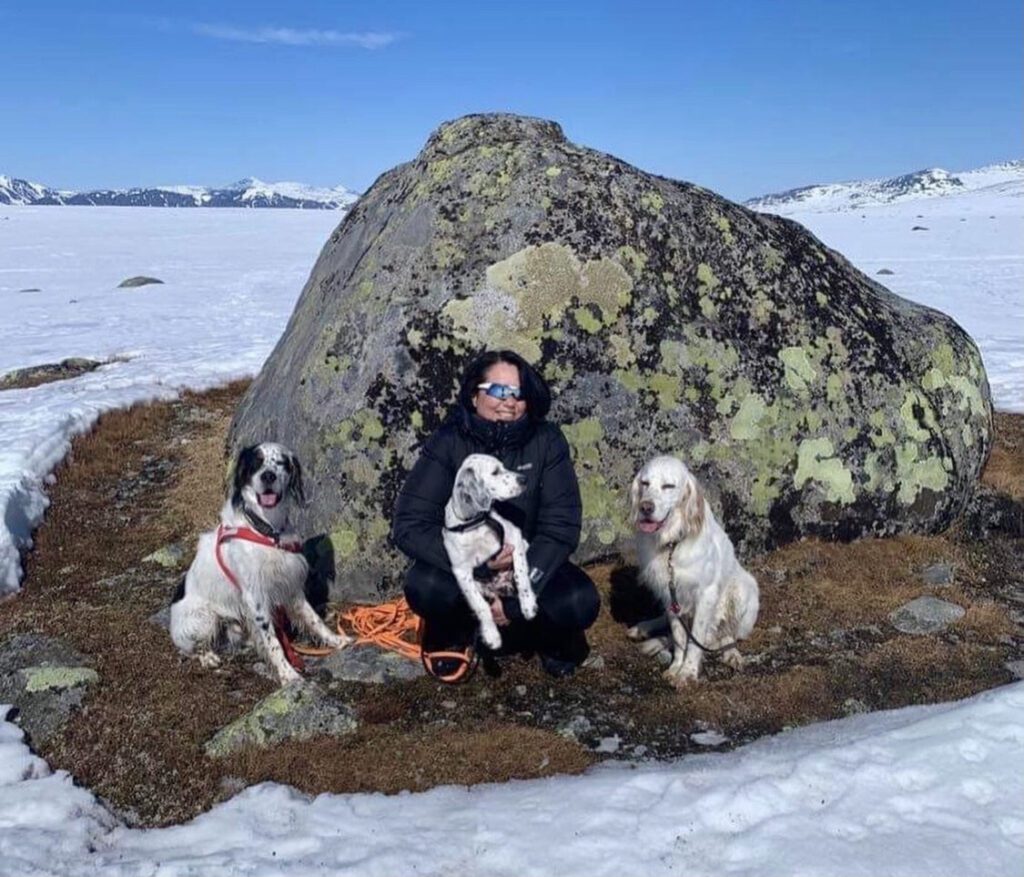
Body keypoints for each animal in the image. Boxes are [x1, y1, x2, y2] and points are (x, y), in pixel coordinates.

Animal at [444, 452, 540, 651]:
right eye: (495, 472)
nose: (524, 479)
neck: (475, 523)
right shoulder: (461, 571)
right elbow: (480, 605)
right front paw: (491, 635)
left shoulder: (515, 537)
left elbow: (521, 575)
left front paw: (528, 605)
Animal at [622, 454, 761, 688]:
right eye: (645, 483)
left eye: (668, 486)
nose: (646, 507)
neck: (672, 544)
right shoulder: (670, 593)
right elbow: (679, 638)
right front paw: (676, 667)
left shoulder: (705, 594)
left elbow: (695, 640)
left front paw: (687, 672)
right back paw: (643, 630)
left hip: (742, 590)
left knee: (725, 636)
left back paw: (732, 655)